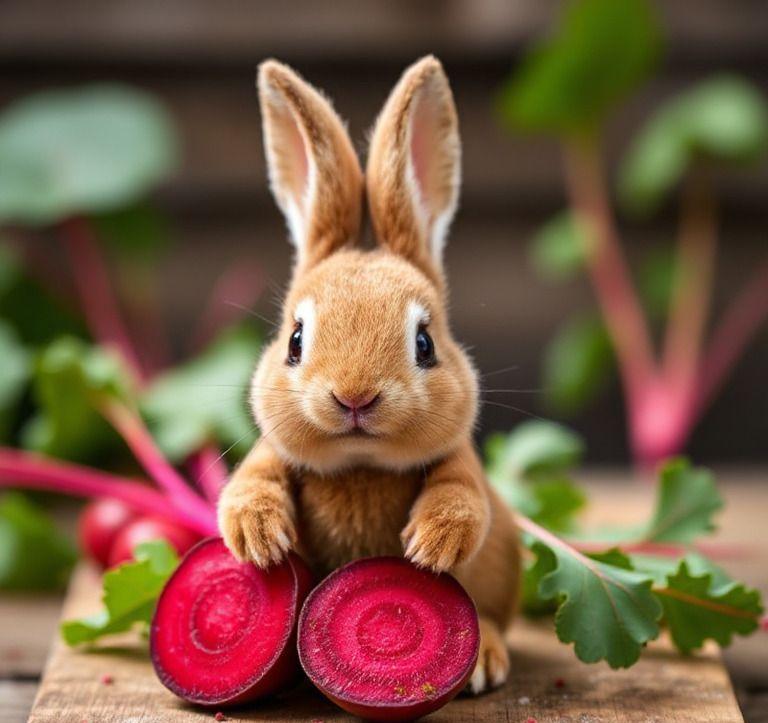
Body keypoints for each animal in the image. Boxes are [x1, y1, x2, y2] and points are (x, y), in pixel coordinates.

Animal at [219, 56, 524, 696]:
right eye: (295, 340)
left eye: (425, 344)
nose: (354, 397)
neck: (360, 463)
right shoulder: (270, 452)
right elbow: (252, 479)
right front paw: (257, 540)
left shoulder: (461, 463)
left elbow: (462, 495)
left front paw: (432, 546)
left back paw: (484, 660)